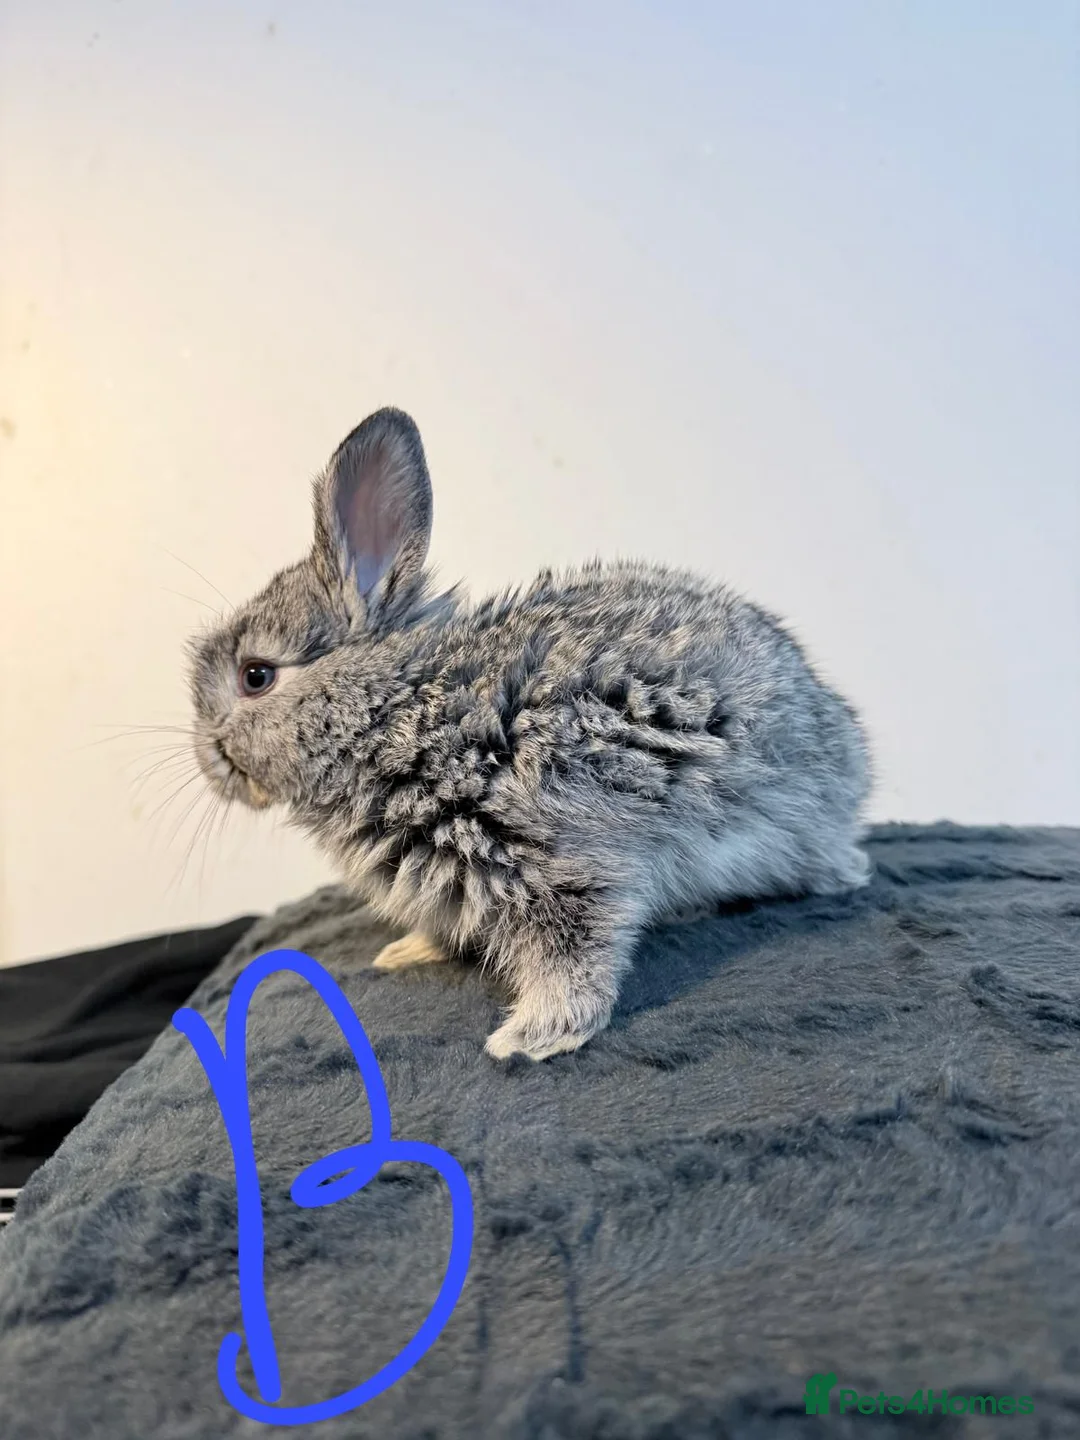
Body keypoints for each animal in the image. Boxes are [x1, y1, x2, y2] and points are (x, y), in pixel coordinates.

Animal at [188, 407, 871, 1062]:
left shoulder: (559, 858)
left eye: (255, 676)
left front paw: (531, 1040)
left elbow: (574, 954)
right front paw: (407, 952)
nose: (208, 762)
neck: (398, 712)